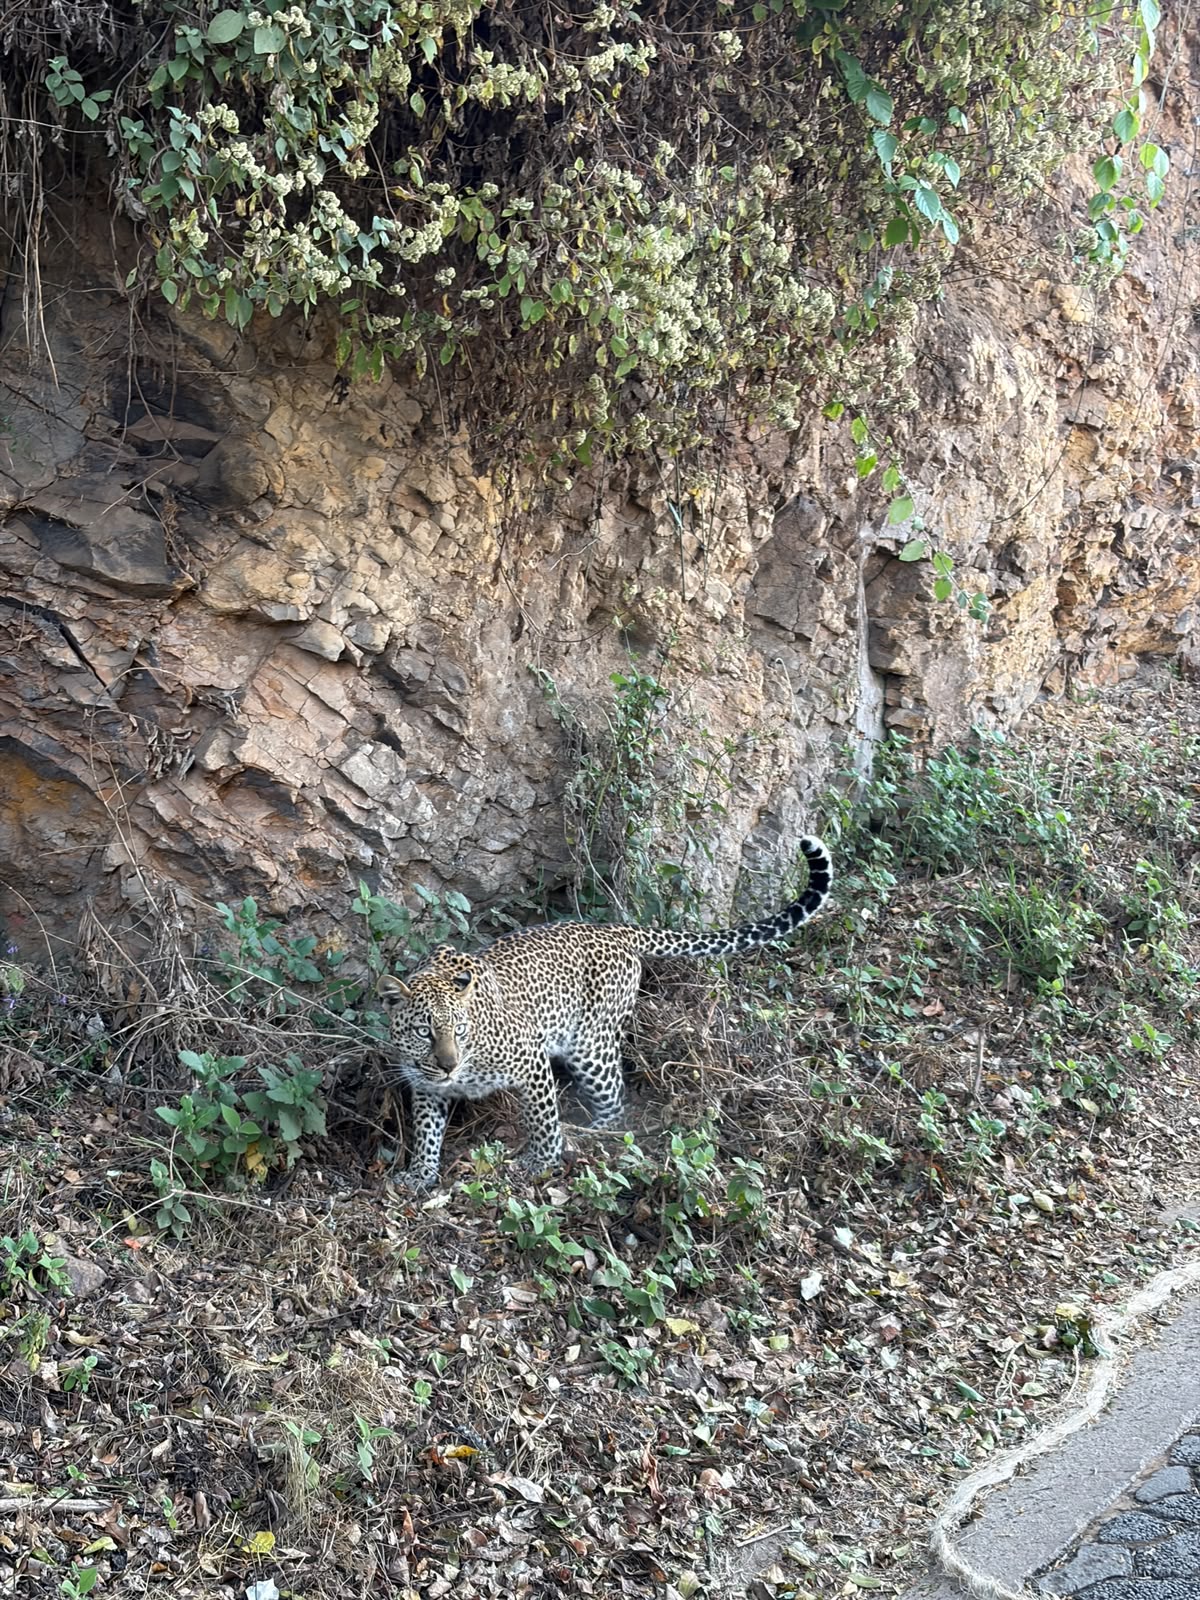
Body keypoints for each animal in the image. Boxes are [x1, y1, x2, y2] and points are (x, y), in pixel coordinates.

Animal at [377, 835, 832, 1190]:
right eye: (424, 1031)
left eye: (459, 1028)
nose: (449, 1066)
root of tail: (612, 928)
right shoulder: (426, 1087)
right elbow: (426, 1131)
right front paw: (419, 1174)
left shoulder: (530, 1060)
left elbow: (543, 1119)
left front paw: (539, 1161)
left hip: (590, 1046)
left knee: (615, 1103)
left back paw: (589, 1134)